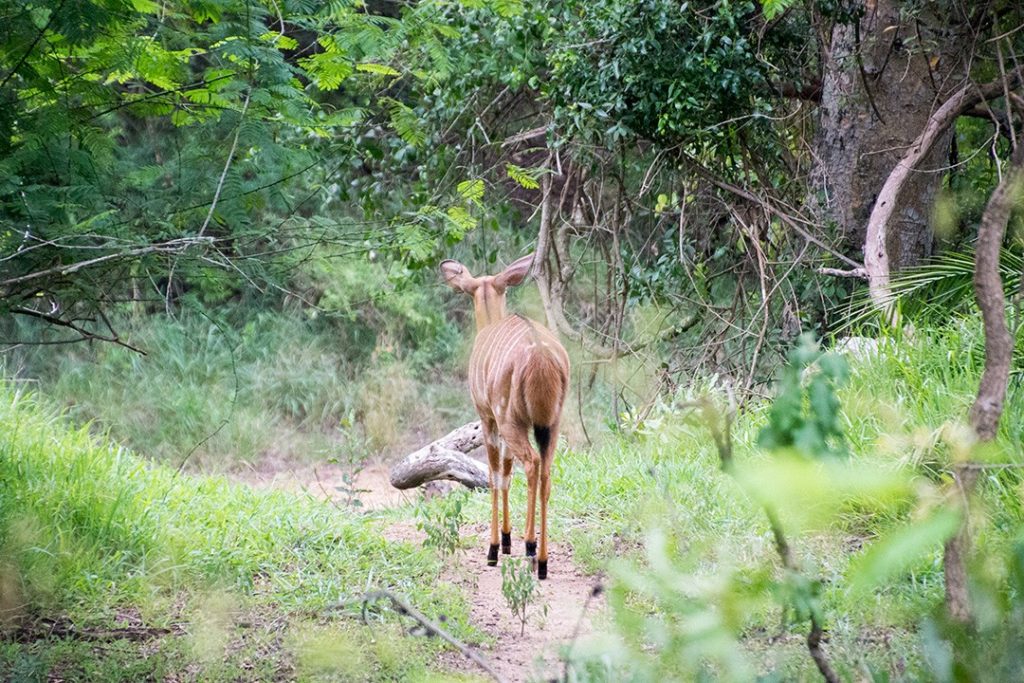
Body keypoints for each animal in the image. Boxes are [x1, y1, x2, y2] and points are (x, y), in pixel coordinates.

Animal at [438, 253, 569, 581]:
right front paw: (508, 540)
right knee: (545, 471)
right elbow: (507, 473)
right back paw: (541, 560)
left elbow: (495, 474)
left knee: (531, 464)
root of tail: (541, 359)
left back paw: (530, 548)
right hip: (551, 423)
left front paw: (496, 548)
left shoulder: (487, 417)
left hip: (511, 420)